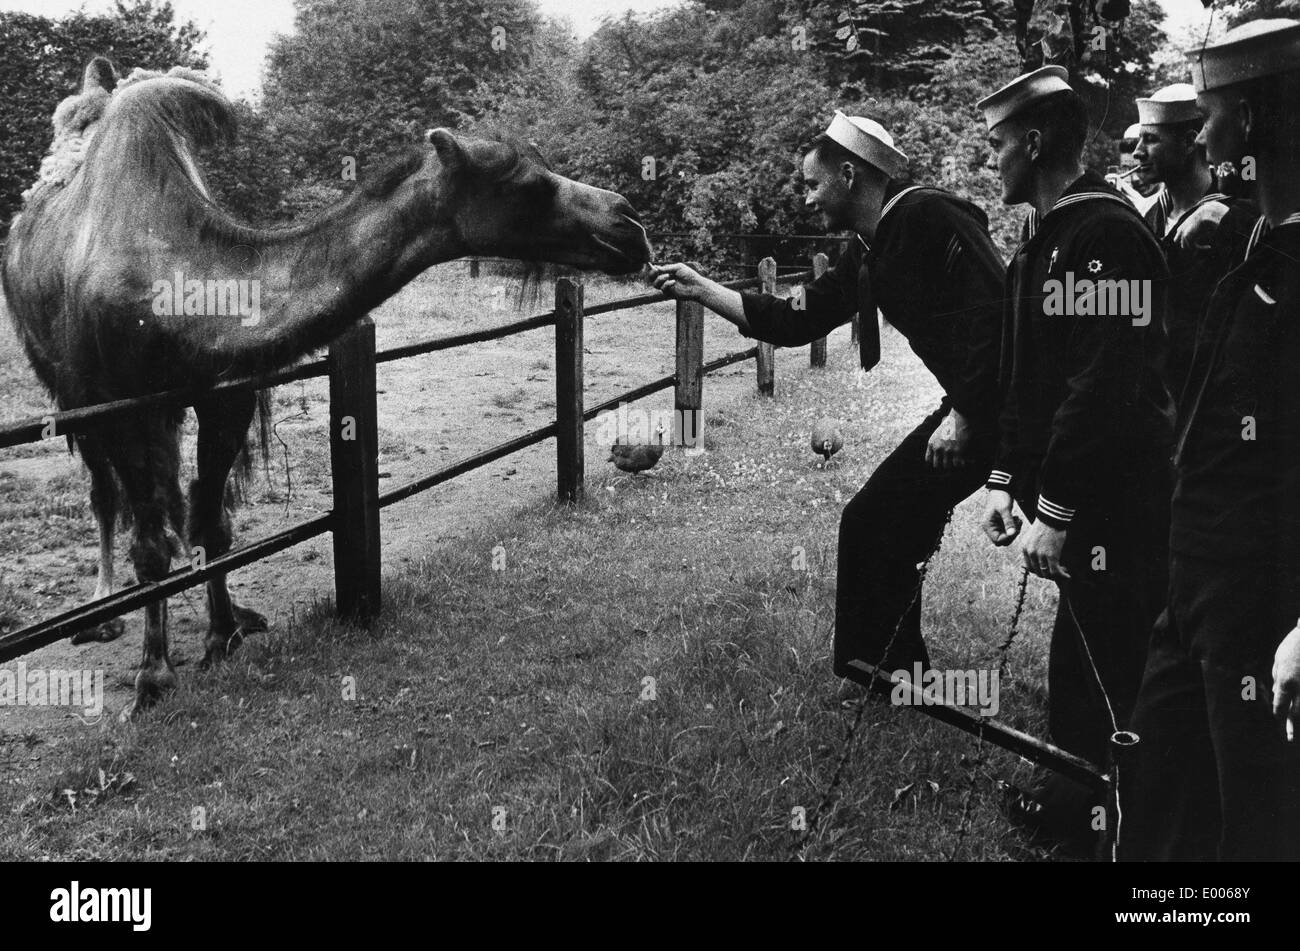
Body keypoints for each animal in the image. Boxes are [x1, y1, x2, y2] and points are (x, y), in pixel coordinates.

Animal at [0, 59, 650, 711]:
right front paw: (154, 676)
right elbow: (151, 543)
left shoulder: (226, 394)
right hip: (68, 389)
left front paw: (223, 632)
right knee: (105, 492)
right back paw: (102, 613)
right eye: (526, 183)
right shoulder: (118, 403)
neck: (179, 290)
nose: (630, 223)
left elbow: (211, 521)